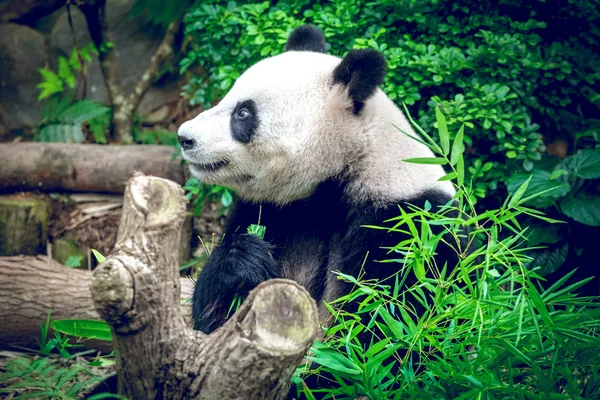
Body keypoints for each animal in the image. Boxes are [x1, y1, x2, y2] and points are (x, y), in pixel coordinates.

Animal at [179, 23, 460, 332]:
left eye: (243, 113)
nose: (185, 137)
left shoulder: (408, 220)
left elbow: (391, 315)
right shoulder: (269, 208)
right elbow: (215, 315)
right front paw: (243, 261)